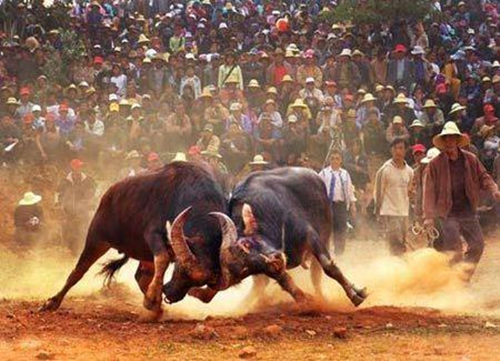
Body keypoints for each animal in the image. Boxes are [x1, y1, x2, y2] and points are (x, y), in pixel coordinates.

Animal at [40, 162, 228, 316]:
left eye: (201, 282)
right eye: (180, 269)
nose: (171, 294)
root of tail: (109, 193)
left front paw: (153, 300)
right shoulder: (153, 234)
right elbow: (163, 258)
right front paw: (151, 298)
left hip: (143, 254)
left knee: (141, 276)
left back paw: (157, 307)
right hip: (97, 238)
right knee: (78, 271)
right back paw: (52, 302)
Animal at [188, 167, 368, 306]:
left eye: (247, 244)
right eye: (247, 270)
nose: (276, 261)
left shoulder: (311, 236)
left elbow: (330, 267)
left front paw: (356, 296)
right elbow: (284, 281)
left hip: (326, 233)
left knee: (316, 275)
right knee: (260, 286)